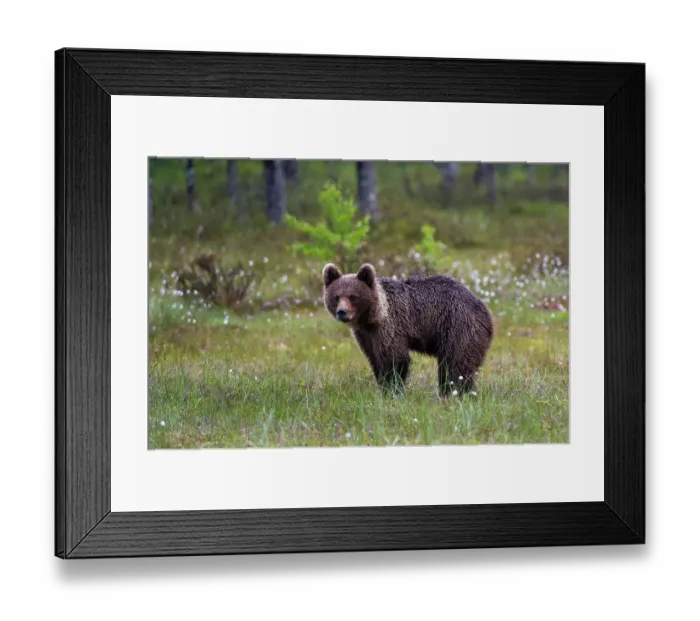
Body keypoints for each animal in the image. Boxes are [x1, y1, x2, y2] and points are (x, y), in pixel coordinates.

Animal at [322, 262, 494, 396]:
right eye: (336, 296)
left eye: (353, 296)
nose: (342, 312)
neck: (372, 317)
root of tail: (485, 310)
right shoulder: (365, 336)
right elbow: (375, 359)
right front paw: (382, 387)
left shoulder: (390, 326)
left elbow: (394, 359)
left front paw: (392, 391)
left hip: (458, 327)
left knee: (456, 364)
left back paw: (457, 393)